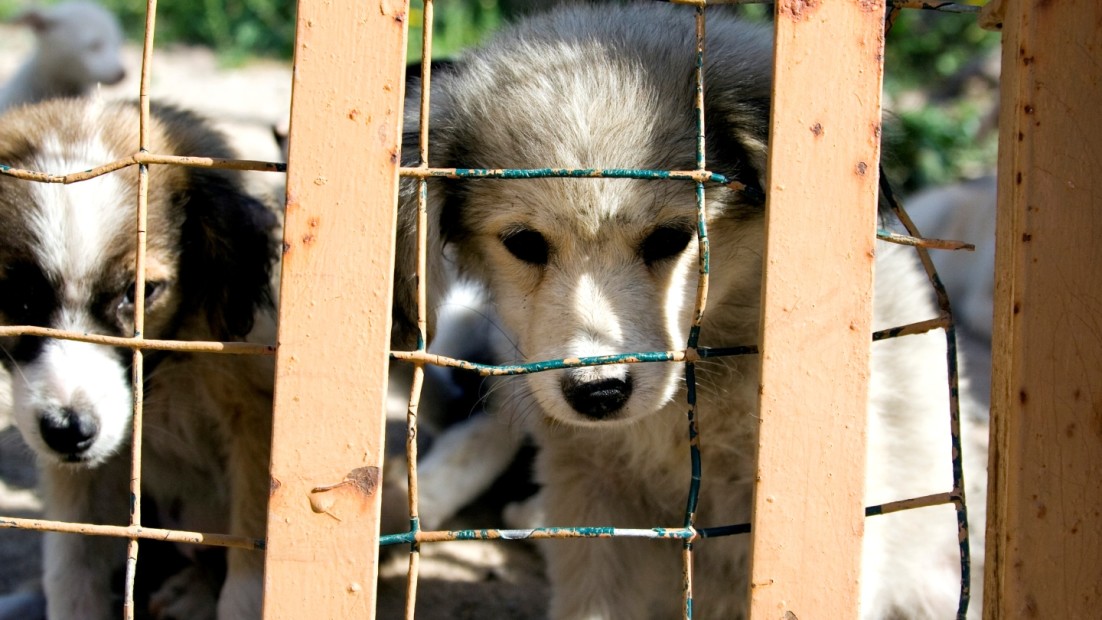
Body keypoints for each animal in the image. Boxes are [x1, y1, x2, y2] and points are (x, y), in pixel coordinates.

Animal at [0, 98, 279, 620]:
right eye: (17, 299)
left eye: (140, 292)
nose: (68, 431)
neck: (171, 374)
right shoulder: (78, 476)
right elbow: (73, 566)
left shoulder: (257, 420)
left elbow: (248, 575)